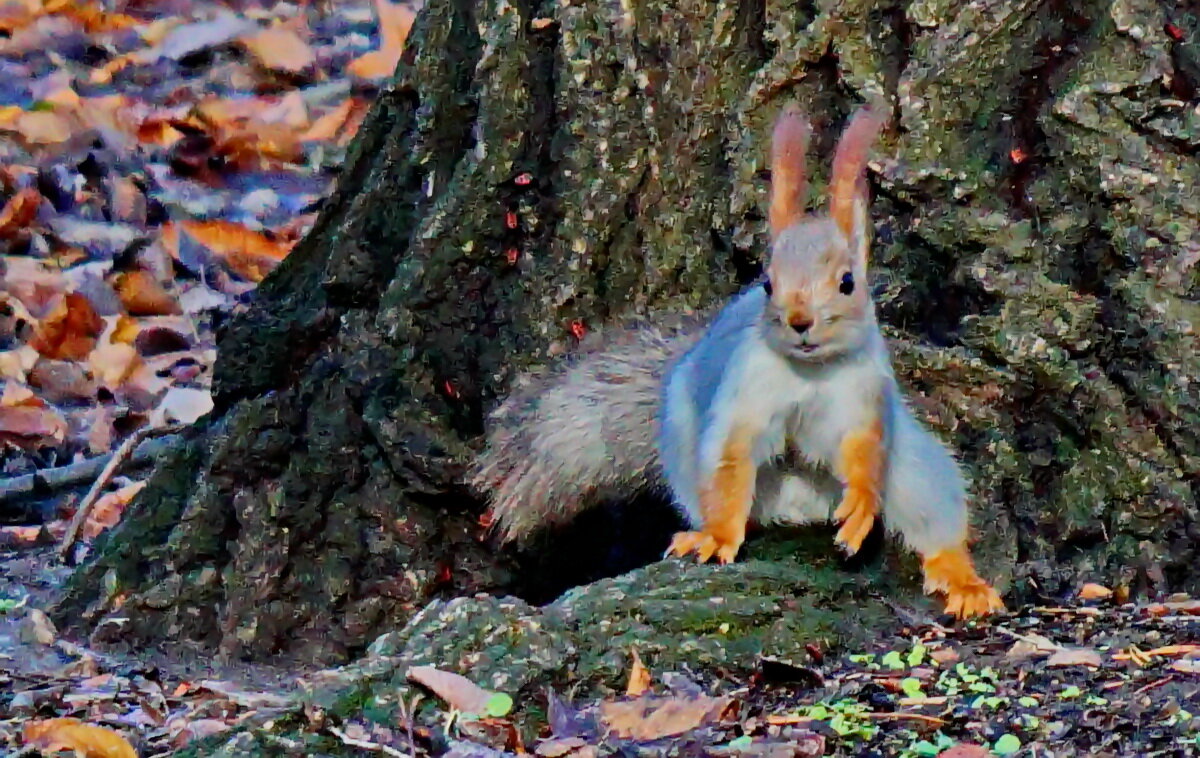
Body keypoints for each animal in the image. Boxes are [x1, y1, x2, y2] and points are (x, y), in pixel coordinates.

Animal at [468, 103, 1003, 618]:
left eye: (848, 282)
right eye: (767, 282)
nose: (800, 321)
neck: (809, 373)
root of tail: (802, 506)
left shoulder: (867, 392)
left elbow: (864, 450)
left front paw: (861, 508)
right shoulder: (745, 392)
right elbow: (733, 456)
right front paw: (718, 537)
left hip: (913, 465)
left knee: (931, 508)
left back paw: (962, 579)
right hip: (687, 446)